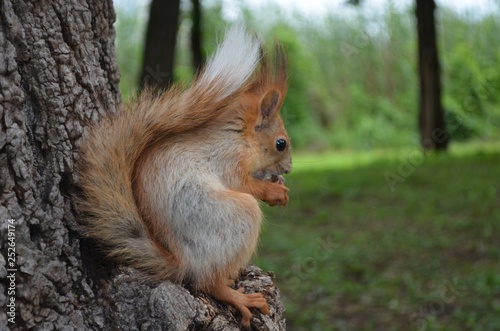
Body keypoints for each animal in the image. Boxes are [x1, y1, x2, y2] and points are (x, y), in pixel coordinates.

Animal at [76, 26, 292, 330]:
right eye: (280, 143)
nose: (288, 169)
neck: (238, 135)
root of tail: (181, 261)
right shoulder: (229, 159)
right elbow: (244, 184)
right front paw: (273, 192)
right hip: (233, 217)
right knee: (208, 282)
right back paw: (239, 297)